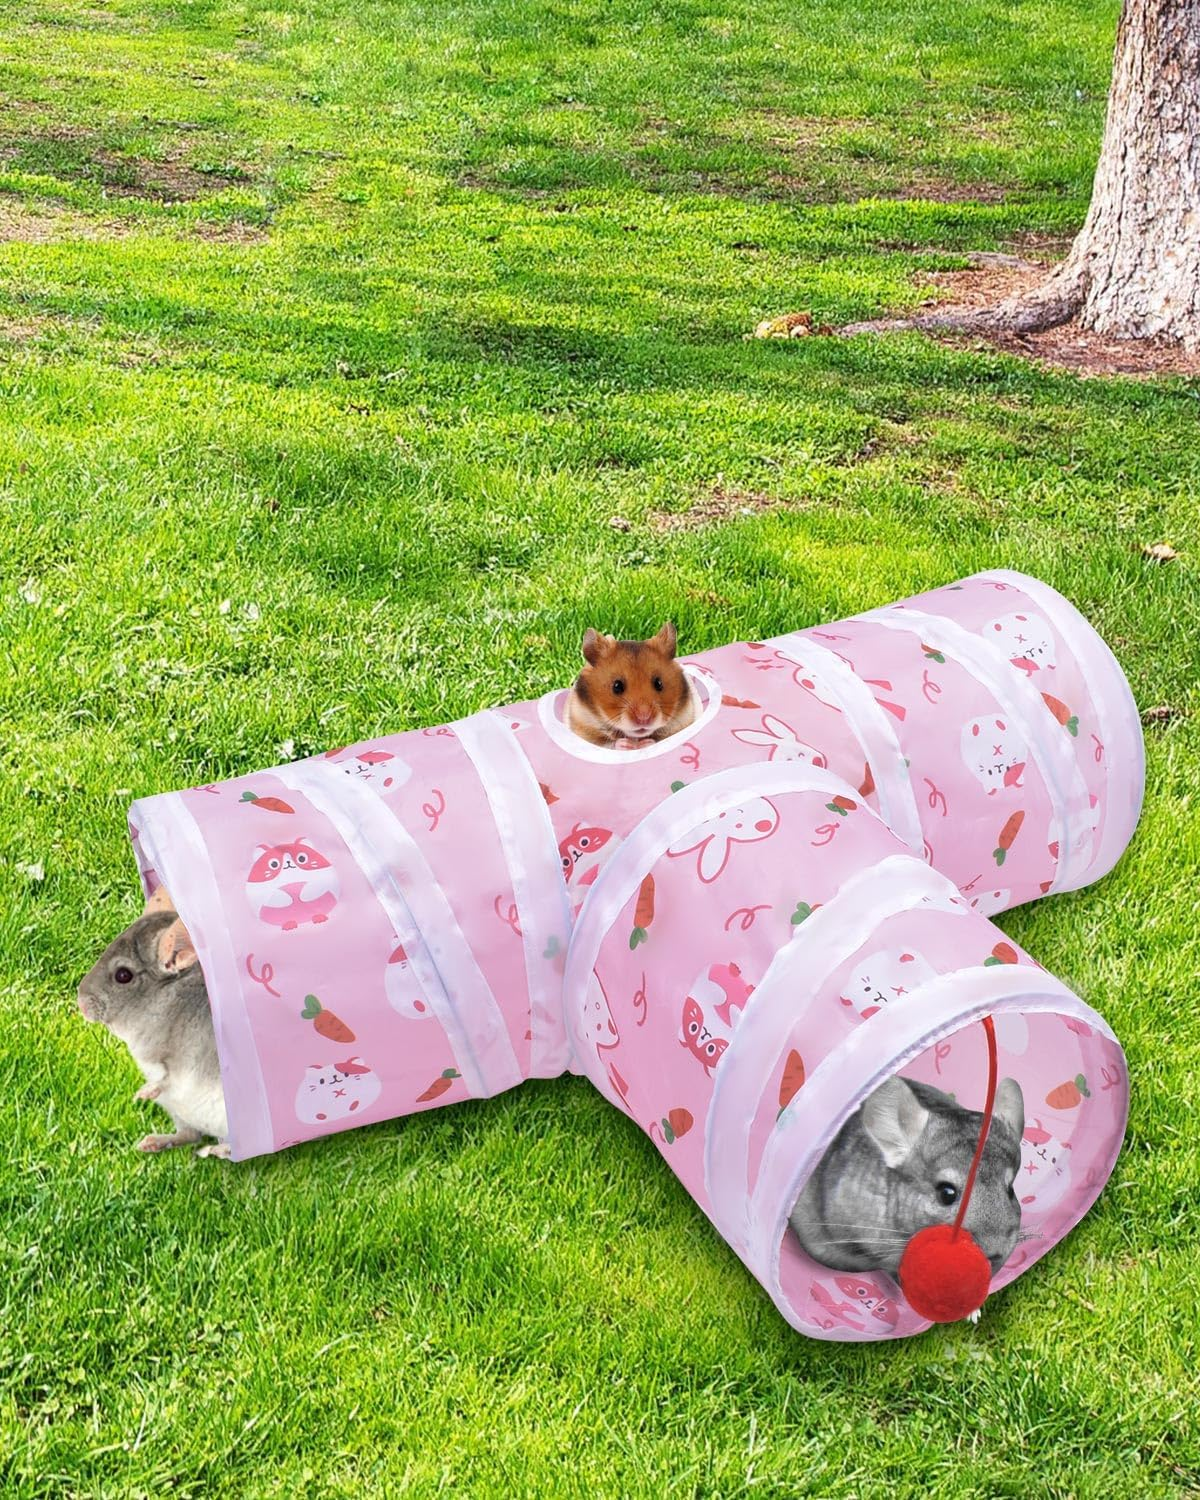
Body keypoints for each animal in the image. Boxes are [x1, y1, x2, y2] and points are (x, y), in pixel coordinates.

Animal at [77, 895, 229, 1158]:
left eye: (123, 975)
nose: (81, 1003)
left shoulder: (189, 1058)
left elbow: (167, 1078)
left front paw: (142, 1093)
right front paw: (141, 1096)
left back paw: (215, 1150)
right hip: (178, 1112)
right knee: (190, 1135)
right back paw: (151, 1143)